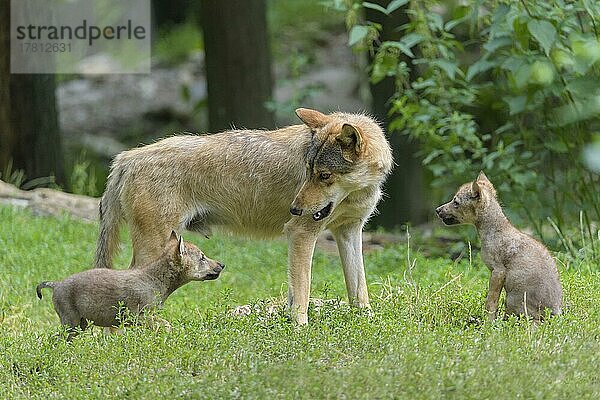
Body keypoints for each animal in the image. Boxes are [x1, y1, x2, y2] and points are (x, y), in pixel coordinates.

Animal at [94, 108, 394, 324]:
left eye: (324, 175)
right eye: (309, 171)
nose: (294, 210)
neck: (357, 192)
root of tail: (126, 158)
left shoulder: (349, 231)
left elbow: (359, 289)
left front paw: (366, 323)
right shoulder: (300, 233)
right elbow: (302, 292)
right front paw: (299, 328)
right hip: (154, 249)